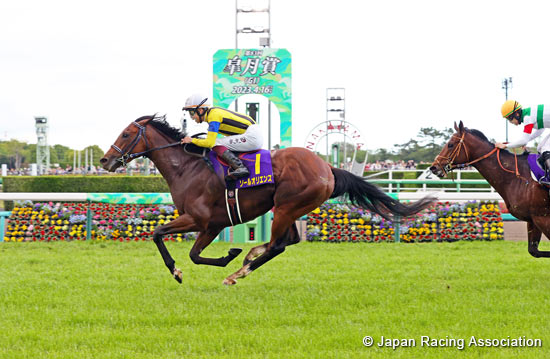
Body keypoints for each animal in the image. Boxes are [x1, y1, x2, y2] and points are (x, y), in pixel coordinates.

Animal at [102, 116, 436, 286]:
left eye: (127, 133)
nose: (105, 160)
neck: (188, 167)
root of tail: (327, 167)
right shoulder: (212, 224)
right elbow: (191, 252)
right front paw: (231, 253)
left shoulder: (200, 220)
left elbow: (165, 238)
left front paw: (184, 270)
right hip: (289, 208)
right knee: (287, 242)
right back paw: (248, 257)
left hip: (288, 205)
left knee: (278, 245)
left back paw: (239, 271)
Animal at [432, 121, 550, 258]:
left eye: (450, 144)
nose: (433, 167)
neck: (519, 177)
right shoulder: (533, 218)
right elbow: (534, 251)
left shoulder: (542, 217)